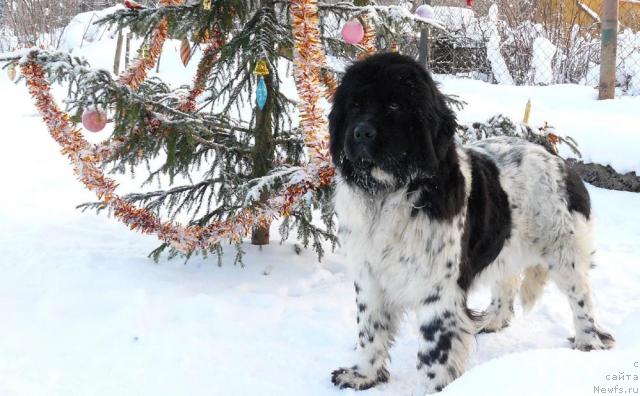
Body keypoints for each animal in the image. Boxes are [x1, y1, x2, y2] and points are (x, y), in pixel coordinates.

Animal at [330, 54, 616, 394]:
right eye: (355, 105)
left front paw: (434, 389)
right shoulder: (370, 276)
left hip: (566, 253)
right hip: (507, 244)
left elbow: (434, 354)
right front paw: (363, 375)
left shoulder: (438, 291)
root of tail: (560, 161)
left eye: (395, 106)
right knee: (507, 287)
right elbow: (369, 332)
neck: (389, 194)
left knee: (581, 299)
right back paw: (491, 320)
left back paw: (589, 342)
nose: (360, 133)